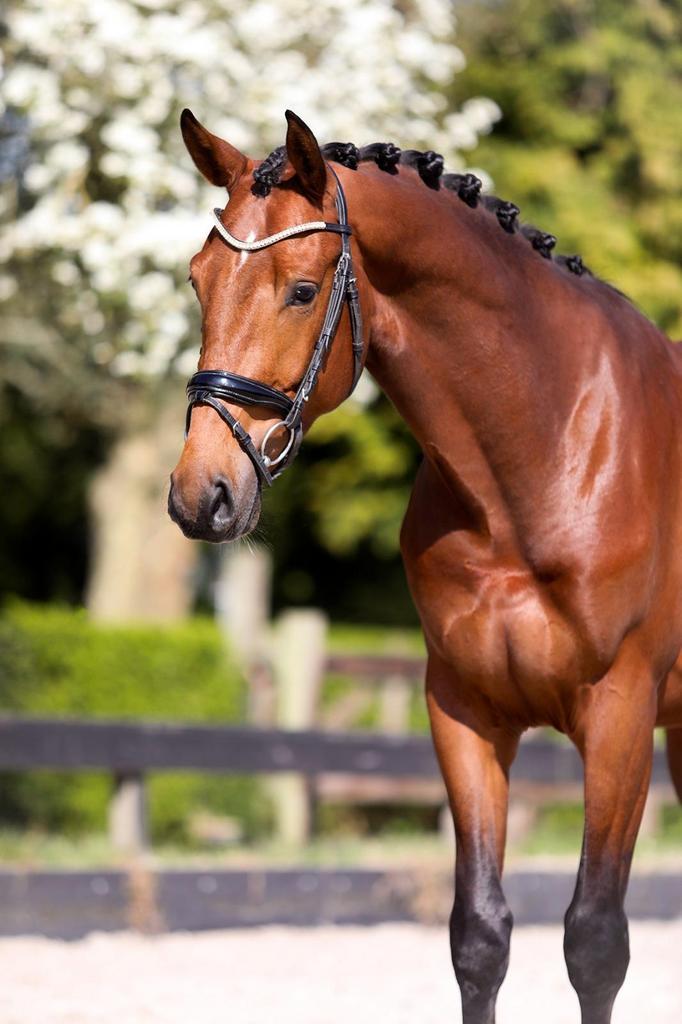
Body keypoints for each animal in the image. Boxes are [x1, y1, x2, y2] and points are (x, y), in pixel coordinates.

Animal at [168, 108, 682, 1024]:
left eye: (302, 290)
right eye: (199, 282)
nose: (203, 495)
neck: (544, 452)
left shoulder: (621, 713)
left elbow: (596, 941)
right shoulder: (463, 710)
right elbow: (478, 935)